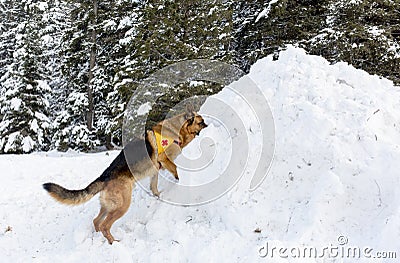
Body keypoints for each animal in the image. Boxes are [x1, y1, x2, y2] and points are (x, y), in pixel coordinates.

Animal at [42, 111, 208, 245]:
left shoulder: (155, 171)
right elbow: (176, 170)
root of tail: (104, 176)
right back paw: (113, 243)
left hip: (109, 206)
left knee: (96, 221)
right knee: (105, 225)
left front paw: (159, 197)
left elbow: (154, 187)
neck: (177, 130)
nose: (208, 125)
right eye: (201, 122)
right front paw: (179, 181)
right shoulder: (165, 159)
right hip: (122, 205)